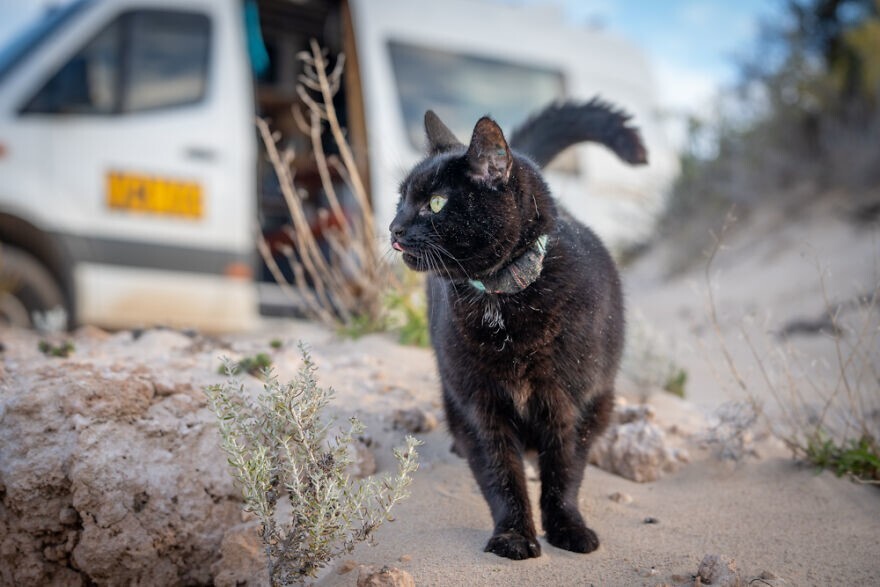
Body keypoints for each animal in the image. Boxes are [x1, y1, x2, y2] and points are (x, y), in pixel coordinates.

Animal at [390, 100, 648, 560]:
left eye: (436, 202)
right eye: (400, 199)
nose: (394, 228)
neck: (502, 297)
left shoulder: (571, 403)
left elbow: (564, 471)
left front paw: (567, 528)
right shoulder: (479, 404)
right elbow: (500, 474)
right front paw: (512, 535)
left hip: (602, 399)